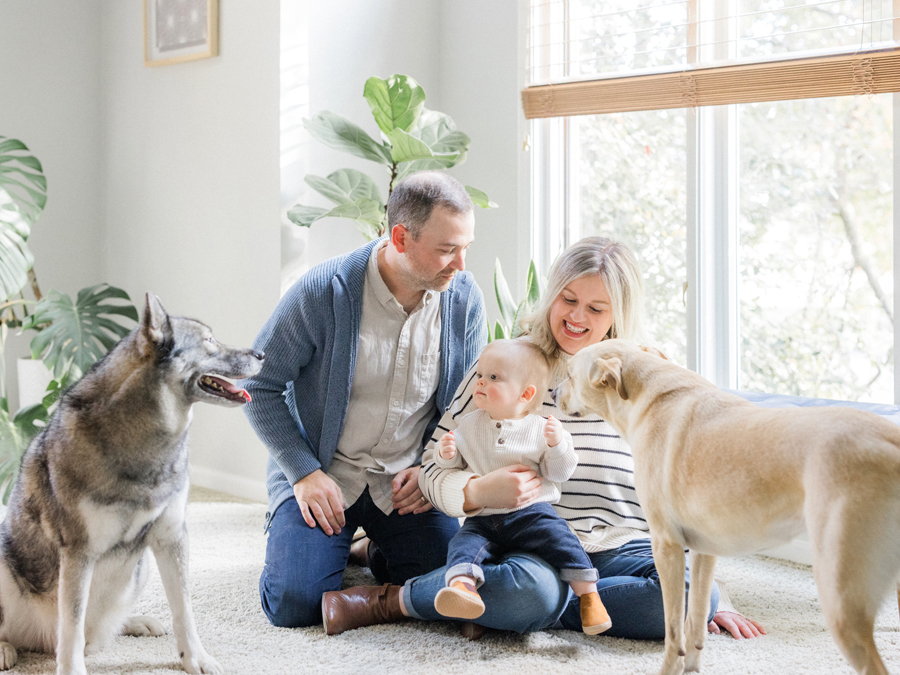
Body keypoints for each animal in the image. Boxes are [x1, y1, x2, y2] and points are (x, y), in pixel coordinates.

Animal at [0, 294, 266, 675]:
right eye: (209, 341)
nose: (262, 354)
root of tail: (39, 639)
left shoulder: (171, 537)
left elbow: (184, 610)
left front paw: (194, 658)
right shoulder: (79, 553)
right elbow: (71, 629)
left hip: (140, 569)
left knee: (100, 629)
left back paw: (136, 622)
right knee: (59, 634)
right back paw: (5, 649)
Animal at [556, 340, 900, 675]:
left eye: (570, 374)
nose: (554, 393)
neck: (651, 397)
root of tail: (890, 440)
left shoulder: (666, 545)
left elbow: (673, 631)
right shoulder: (703, 550)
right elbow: (695, 622)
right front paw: (692, 668)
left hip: (841, 599)